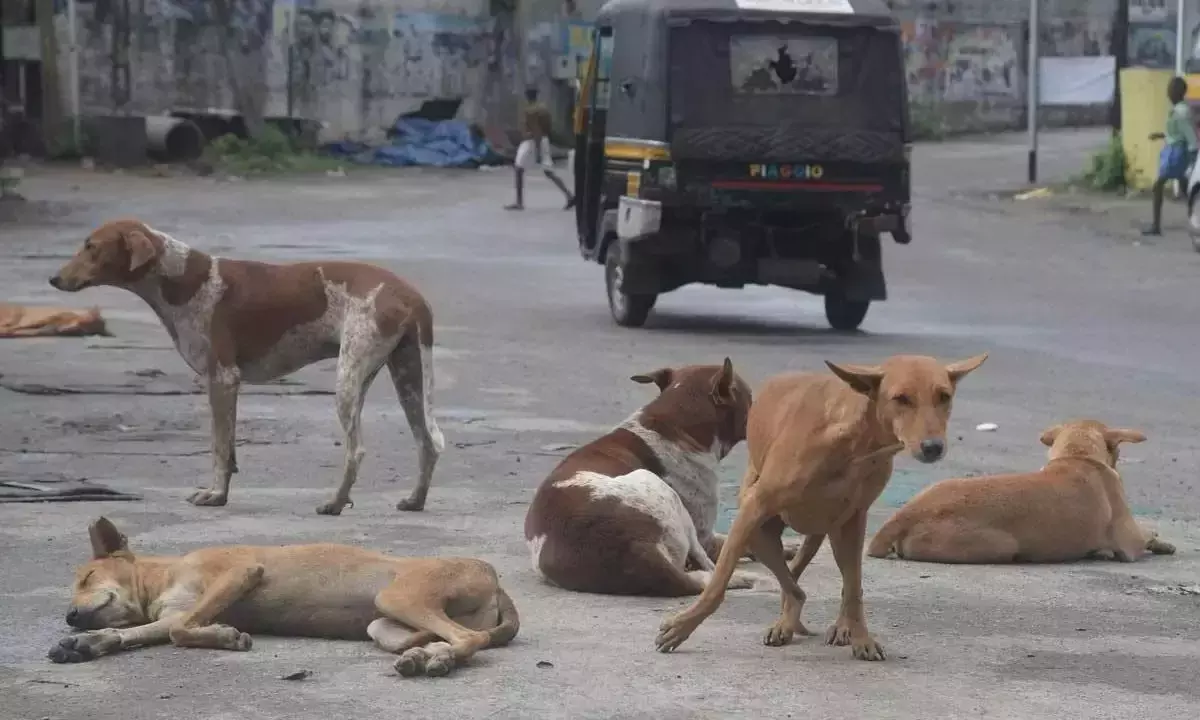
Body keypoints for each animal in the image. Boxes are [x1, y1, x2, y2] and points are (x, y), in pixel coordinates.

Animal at [49, 216, 446, 513]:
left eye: (91, 246)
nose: (53, 278)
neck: (182, 279)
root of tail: (411, 295)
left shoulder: (222, 378)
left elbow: (218, 447)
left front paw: (215, 495)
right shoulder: (227, 385)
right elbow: (229, 447)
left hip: (348, 380)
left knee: (357, 450)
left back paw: (335, 503)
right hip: (407, 378)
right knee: (428, 442)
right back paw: (415, 500)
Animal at [49, 513, 518, 676]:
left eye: (87, 577)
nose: (71, 616)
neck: (163, 577)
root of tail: (497, 580)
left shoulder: (238, 572)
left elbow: (181, 630)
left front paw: (225, 637)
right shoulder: (173, 612)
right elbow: (150, 631)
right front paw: (88, 644)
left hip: (398, 596)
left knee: (470, 638)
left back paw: (438, 658)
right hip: (383, 624)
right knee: (451, 637)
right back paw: (428, 655)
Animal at [525, 357, 777, 595]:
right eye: (750, 396)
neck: (674, 427)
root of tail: (639, 549)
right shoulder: (705, 536)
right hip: (659, 489)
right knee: (711, 570)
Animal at [657, 350, 984, 662]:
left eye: (944, 396)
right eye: (901, 398)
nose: (933, 447)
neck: (856, 444)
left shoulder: (854, 520)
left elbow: (853, 588)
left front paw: (861, 638)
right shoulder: (753, 510)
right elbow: (717, 585)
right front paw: (683, 626)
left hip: (835, 533)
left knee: (836, 582)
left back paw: (839, 625)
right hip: (760, 534)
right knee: (792, 580)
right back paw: (788, 620)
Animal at [868, 420, 1176, 566]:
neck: (1077, 456)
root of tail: (907, 513)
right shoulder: (1129, 542)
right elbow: (1145, 536)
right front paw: (1160, 541)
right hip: (1000, 546)